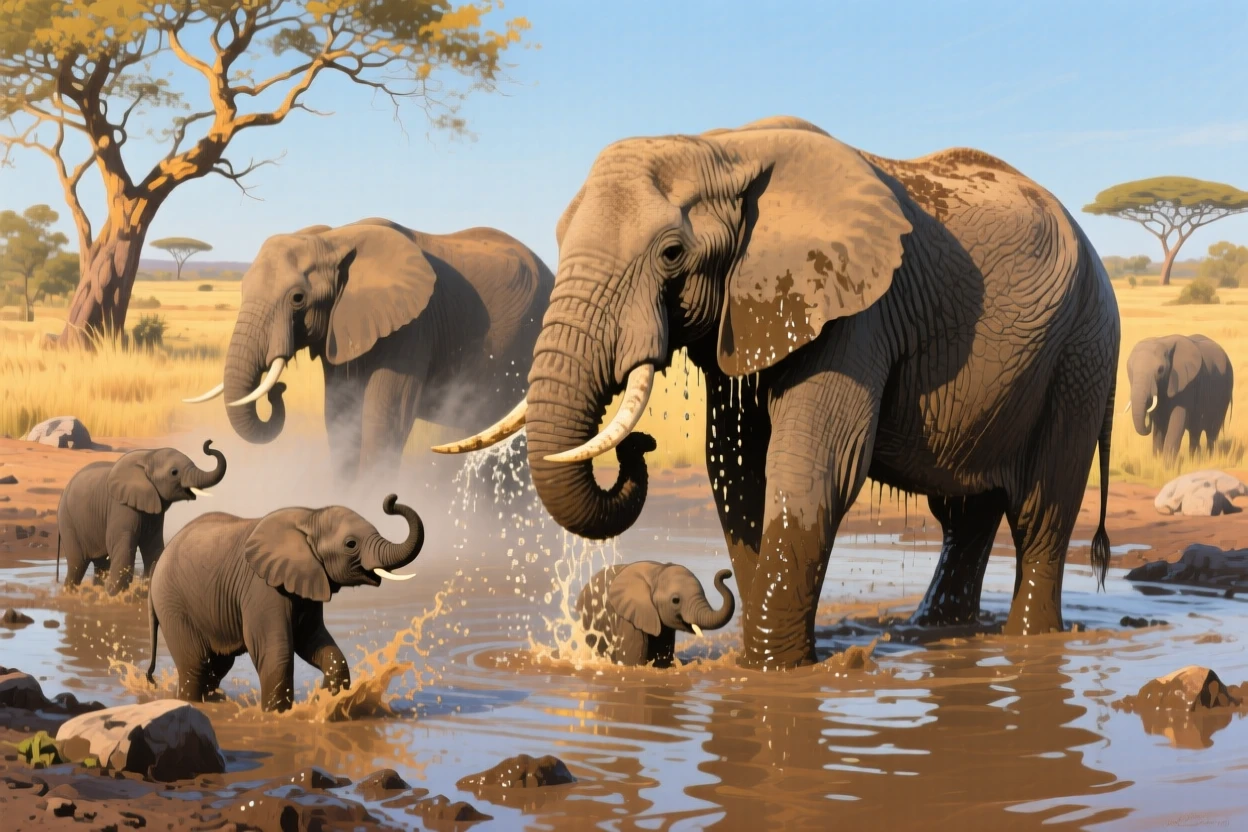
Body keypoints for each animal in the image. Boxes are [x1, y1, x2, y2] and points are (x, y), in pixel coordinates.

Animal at [56, 440, 227, 595]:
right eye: (174, 472)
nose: (209, 443)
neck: (148, 456)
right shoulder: (120, 506)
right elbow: (122, 542)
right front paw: (114, 596)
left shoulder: (154, 510)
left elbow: (153, 544)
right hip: (68, 521)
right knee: (77, 564)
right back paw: (70, 594)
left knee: (100, 563)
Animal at [146, 494, 424, 712]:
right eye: (351, 544)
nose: (391, 500)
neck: (310, 516)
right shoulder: (262, 588)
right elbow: (276, 652)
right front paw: (277, 716)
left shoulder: (308, 581)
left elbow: (314, 641)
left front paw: (325, 703)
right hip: (173, 603)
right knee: (196, 665)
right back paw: (189, 702)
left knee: (217, 665)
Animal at [184, 218, 554, 482]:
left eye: (298, 298)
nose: (279, 389)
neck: (334, 239)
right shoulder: (341, 330)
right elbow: (339, 417)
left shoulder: (412, 328)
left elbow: (385, 419)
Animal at [576, 562, 735, 667]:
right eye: (675, 600)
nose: (727, 573)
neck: (657, 571)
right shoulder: (629, 619)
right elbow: (631, 658)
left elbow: (662, 652)